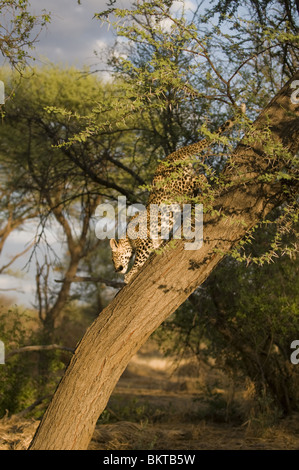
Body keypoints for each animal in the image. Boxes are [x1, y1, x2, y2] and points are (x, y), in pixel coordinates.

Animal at [110, 106, 246, 282]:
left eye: (113, 258)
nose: (115, 270)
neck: (127, 237)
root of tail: (174, 153)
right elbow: (156, 244)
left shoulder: (144, 241)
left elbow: (139, 259)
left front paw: (129, 275)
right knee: (198, 179)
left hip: (178, 185)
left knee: (201, 177)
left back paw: (205, 193)